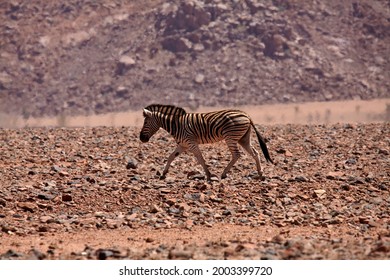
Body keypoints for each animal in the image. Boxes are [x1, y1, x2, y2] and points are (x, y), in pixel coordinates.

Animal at [140, 104, 274, 180]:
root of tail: (246, 115)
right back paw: (261, 174)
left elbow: (200, 158)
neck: (175, 125)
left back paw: (224, 174)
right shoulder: (183, 145)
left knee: (236, 155)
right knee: (255, 153)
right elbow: (171, 156)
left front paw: (209, 175)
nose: (141, 138)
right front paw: (163, 173)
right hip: (243, 138)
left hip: (231, 137)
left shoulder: (190, 143)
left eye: (145, 122)